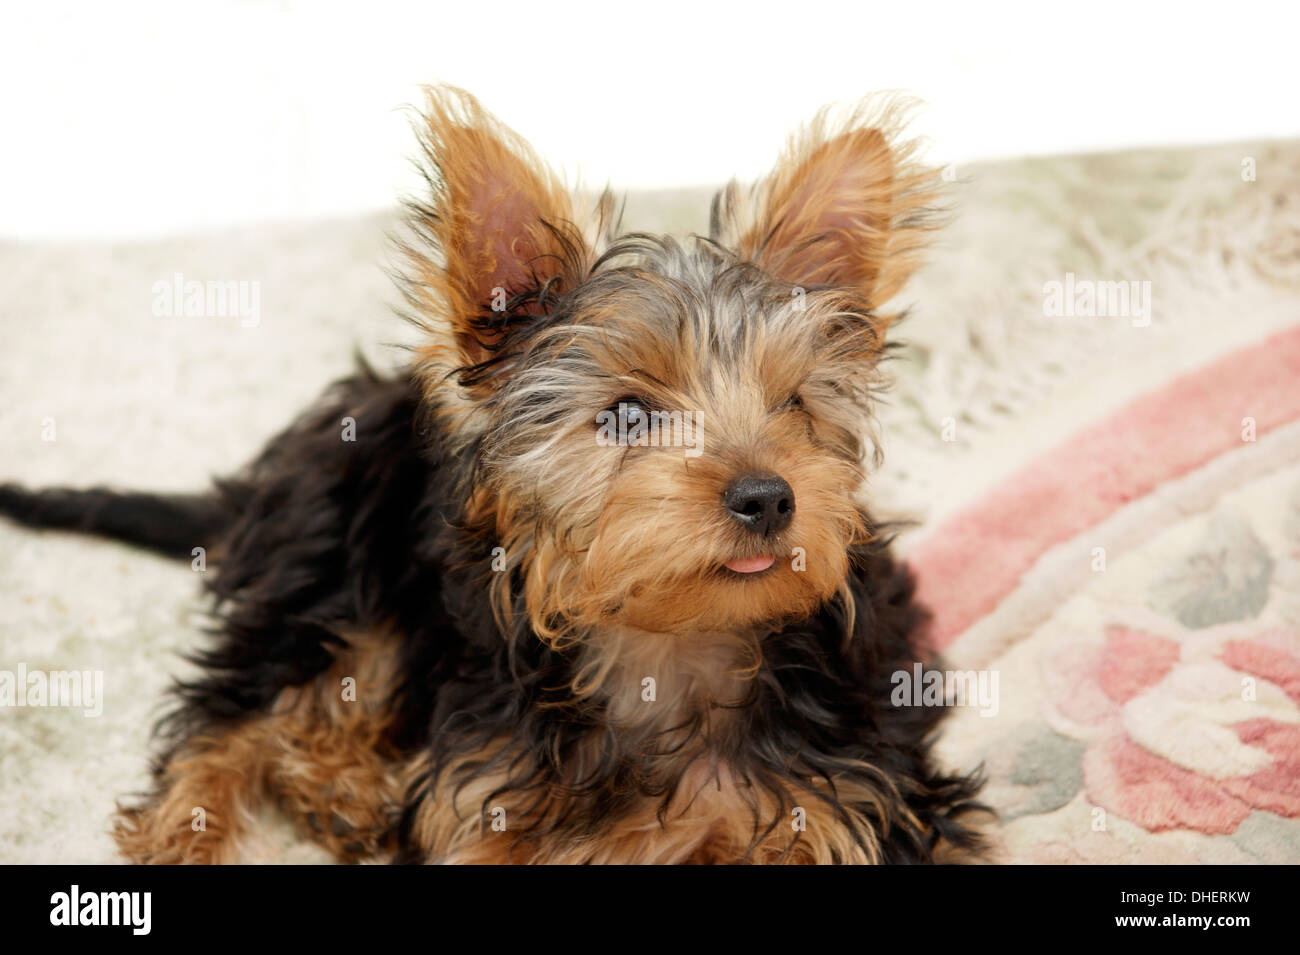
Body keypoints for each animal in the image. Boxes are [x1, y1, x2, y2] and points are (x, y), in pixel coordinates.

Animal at [2, 87, 982, 867]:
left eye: (794, 407)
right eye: (628, 415)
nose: (769, 495)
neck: (669, 646)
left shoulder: (855, 790)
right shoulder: (483, 788)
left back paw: (339, 789)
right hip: (340, 548)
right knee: (251, 696)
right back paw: (205, 819)